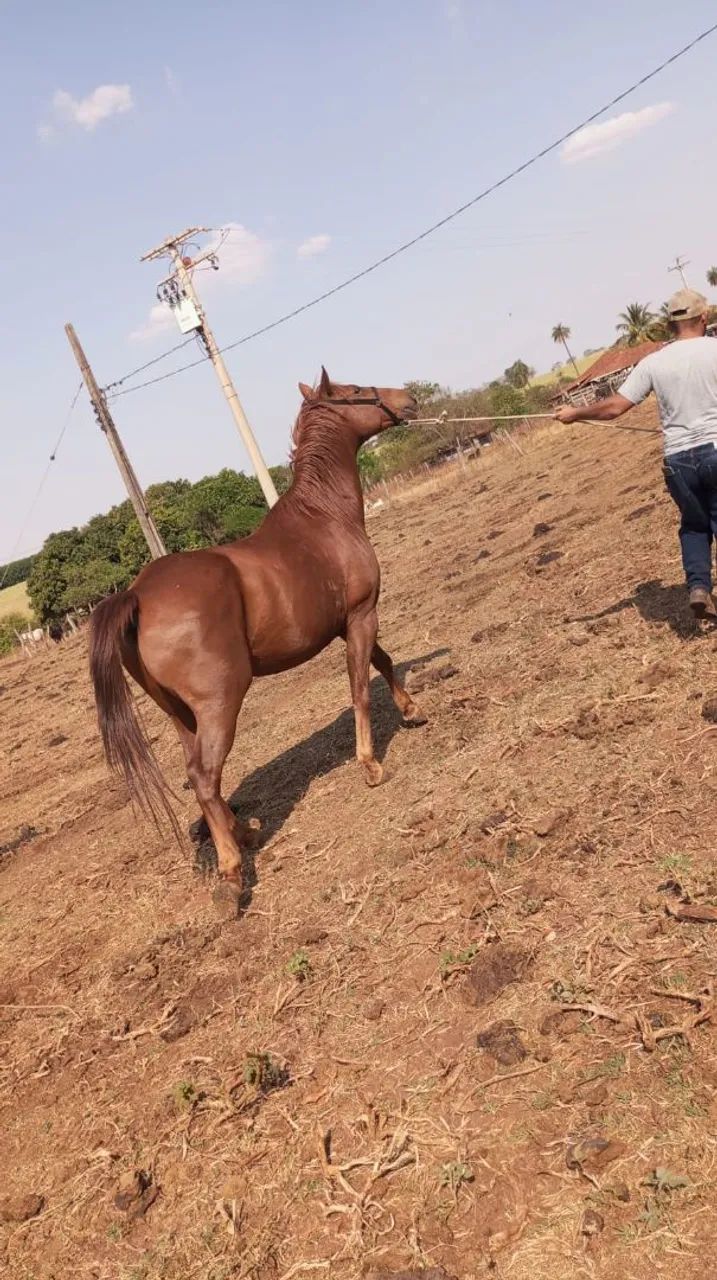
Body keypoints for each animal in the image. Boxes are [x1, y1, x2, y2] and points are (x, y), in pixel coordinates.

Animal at [89, 370, 426, 916]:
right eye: (355, 392)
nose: (409, 398)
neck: (323, 517)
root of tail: (136, 594)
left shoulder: (350, 622)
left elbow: (384, 661)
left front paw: (412, 709)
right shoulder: (361, 616)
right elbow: (359, 686)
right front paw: (371, 764)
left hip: (179, 711)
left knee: (197, 774)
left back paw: (241, 832)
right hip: (221, 700)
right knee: (204, 775)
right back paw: (231, 874)